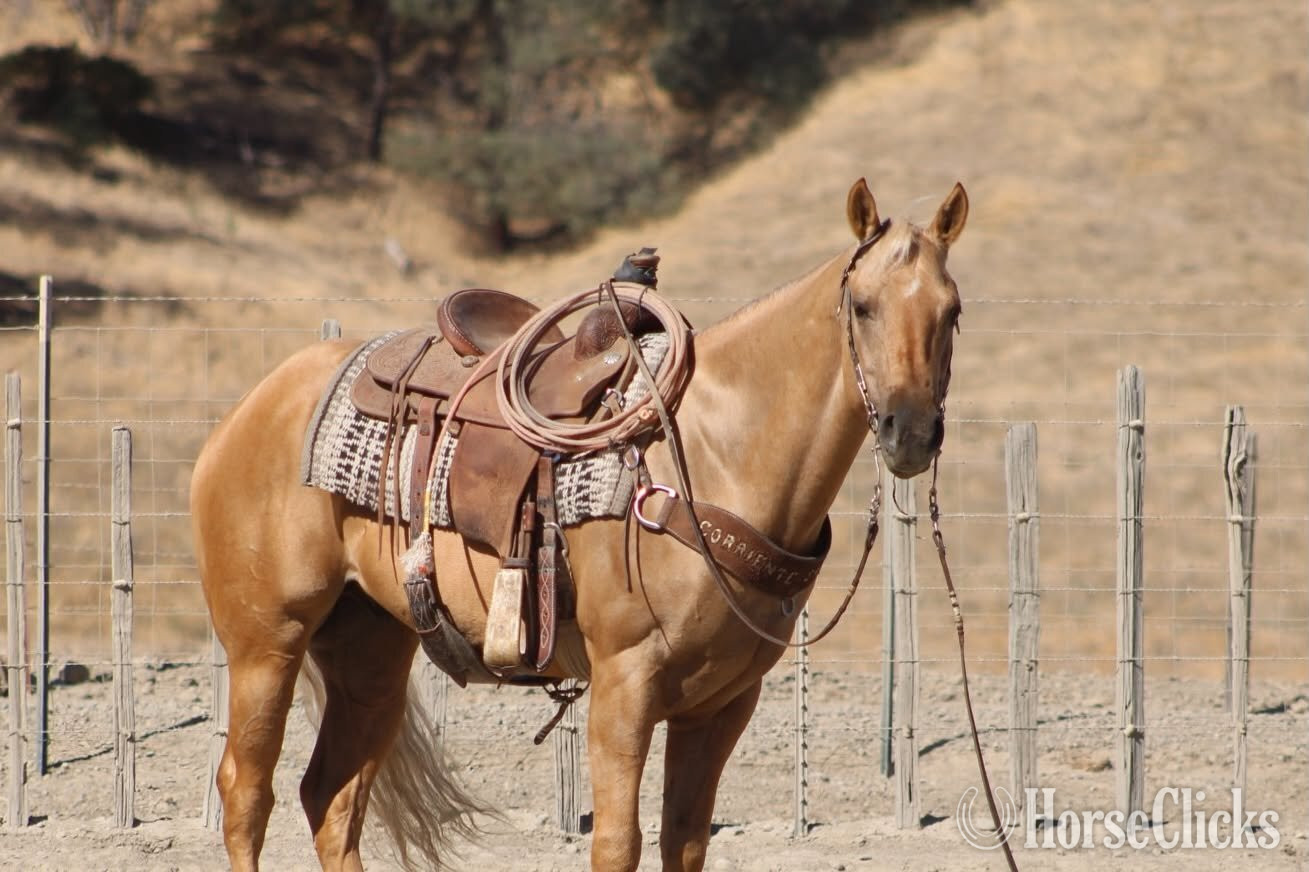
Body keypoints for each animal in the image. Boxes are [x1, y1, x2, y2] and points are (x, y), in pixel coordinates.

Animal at [190, 177, 968, 871]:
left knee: (332, 798)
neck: (714, 452)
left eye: (952, 311)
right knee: (246, 795)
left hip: (370, 651)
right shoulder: (624, 685)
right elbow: (617, 845)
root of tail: (246, 411)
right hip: (268, 644)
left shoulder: (721, 706)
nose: (909, 432)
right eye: (862, 306)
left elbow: (685, 842)